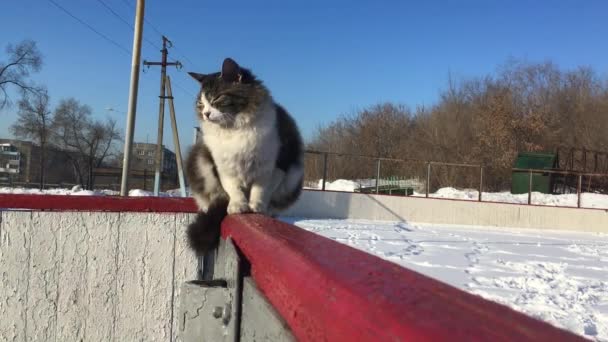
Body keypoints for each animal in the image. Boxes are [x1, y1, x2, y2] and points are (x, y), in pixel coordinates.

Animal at [185, 57, 304, 255]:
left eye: (216, 98)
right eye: (200, 104)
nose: (206, 114)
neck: (234, 129)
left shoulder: (274, 164)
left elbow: (261, 189)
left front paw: (256, 206)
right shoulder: (224, 167)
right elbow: (233, 189)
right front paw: (237, 206)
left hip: (293, 175)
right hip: (199, 159)